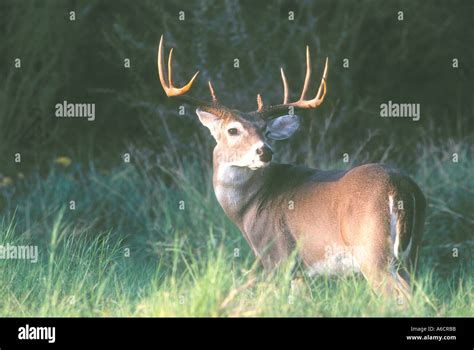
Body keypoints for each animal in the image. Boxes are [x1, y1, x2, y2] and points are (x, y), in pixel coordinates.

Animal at [156, 34, 426, 300]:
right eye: (233, 130)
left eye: (265, 131)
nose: (265, 151)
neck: (248, 208)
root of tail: (400, 188)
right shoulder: (299, 272)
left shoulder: (278, 258)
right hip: (410, 255)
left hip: (372, 251)